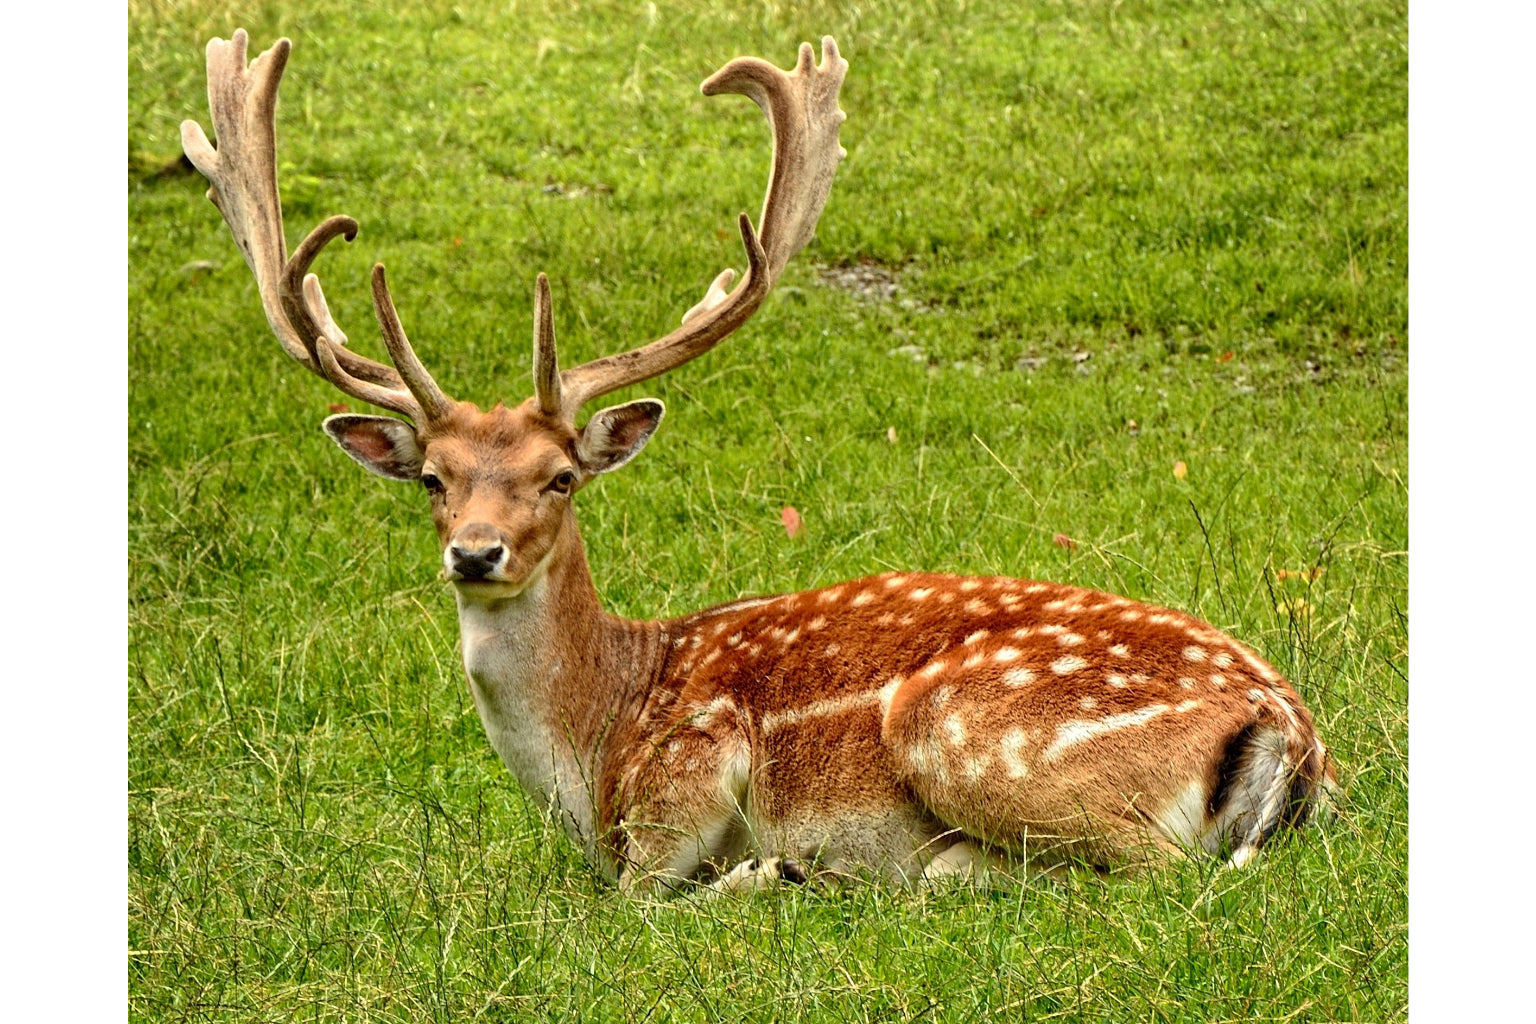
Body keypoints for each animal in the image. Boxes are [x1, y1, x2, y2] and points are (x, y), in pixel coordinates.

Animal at [179, 30, 1333, 896]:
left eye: (561, 475)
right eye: (434, 479)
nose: (475, 552)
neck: (594, 745)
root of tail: (1290, 728)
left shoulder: (689, 769)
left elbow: (640, 898)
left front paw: (764, 870)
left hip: (965, 730)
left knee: (1153, 871)